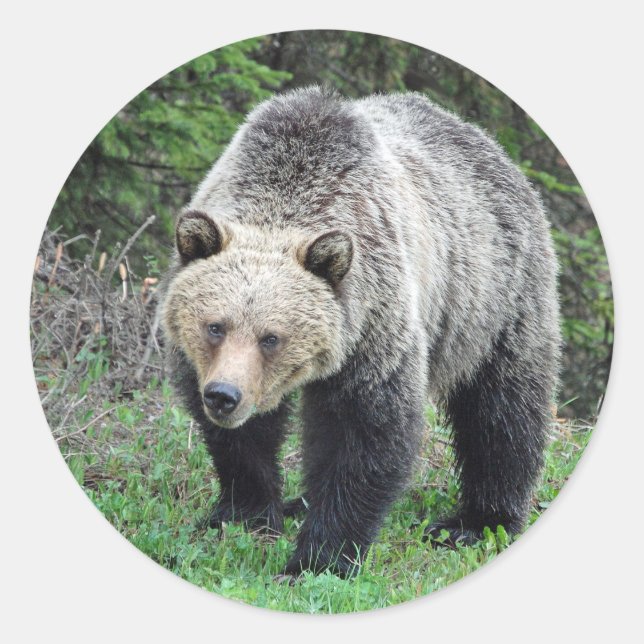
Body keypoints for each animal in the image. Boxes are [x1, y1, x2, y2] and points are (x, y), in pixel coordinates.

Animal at [159, 86, 560, 578]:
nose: (223, 396)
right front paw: (243, 513)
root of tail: (489, 144)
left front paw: (317, 559)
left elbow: (363, 433)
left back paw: (476, 522)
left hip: (494, 299)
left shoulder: (373, 325)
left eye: (271, 337)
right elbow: (243, 441)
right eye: (215, 326)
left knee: (501, 409)